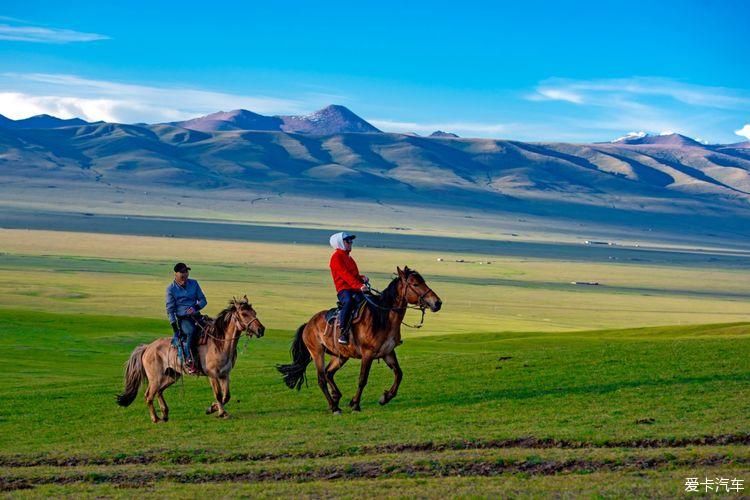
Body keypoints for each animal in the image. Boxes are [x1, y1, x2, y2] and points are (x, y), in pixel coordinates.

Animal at [117, 296, 268, 422]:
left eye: (254, 312)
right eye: (244, 314)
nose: (261, 330)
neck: (219, 343)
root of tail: (147, 347)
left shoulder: (225, 374)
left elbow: (226, 396)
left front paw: (211, 408)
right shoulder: (212, 375)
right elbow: (219, 395)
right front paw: (221, 413)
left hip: (172, 375)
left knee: (159, 391)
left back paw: (165, 414)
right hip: (156, 378)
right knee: (148, 395)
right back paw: (155, 418)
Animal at [278, 268, 440, 412]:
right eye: (415, 284)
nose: (437, 303)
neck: (382, 317)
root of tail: (308, 324)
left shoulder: (388, 352)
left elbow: (399, 374)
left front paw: (385, 397)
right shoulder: (367, 354)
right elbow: (362, 379)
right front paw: (356, 404)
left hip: (341, 356)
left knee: (329, 373)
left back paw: (336, 397)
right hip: (317, 352)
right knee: (322, 378)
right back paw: (334, 407)